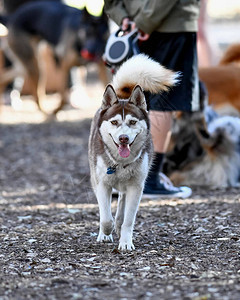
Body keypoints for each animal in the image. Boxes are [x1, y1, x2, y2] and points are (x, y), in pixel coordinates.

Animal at [88, 54, 178, 251]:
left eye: (132, 122)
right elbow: (105, 217)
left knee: (122, 201)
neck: (120, 164)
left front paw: (125, 242)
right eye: (114, 122)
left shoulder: (136, 187)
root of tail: (122, 96)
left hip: (126, 186)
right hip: (94, 176)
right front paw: (106, 232)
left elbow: (128, 220)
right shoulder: (103, 184)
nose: (123, 138)